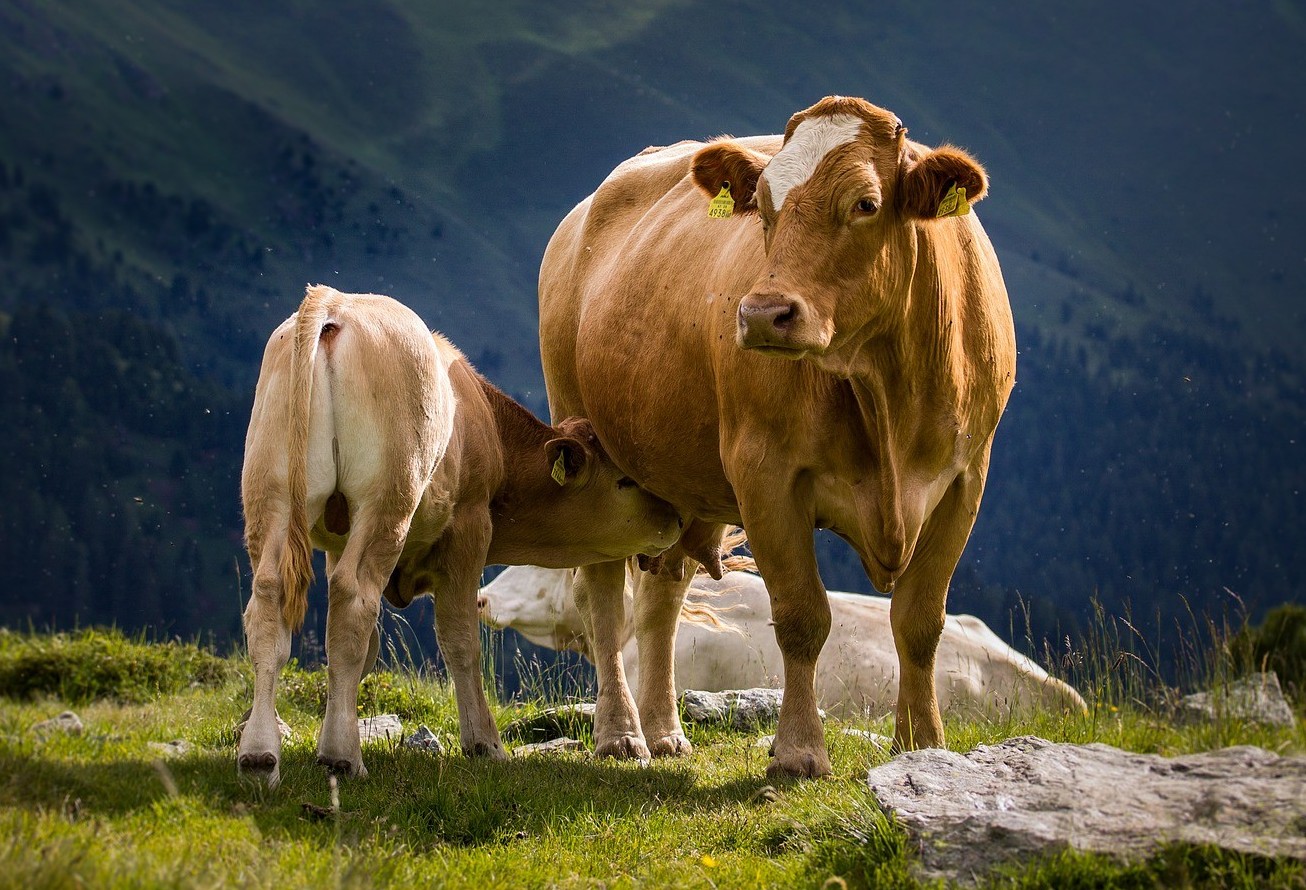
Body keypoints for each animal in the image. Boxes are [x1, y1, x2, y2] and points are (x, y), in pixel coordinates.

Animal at [237, 284, 684, 778]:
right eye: (625, 480)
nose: (676, 516)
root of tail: (335, 304)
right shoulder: (470, 528)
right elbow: (460, 638)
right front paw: (483, 742)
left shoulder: (338, 541)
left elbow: (361, 649)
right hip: (386, 499)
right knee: (353, 598)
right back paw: (342, 756)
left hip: (270, 494)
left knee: (269, 601)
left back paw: (259, 753)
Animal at [540, 97, 1018, 773]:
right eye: (762, 205)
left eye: (866, 203)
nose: (764, 313)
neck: (885, 390)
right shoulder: (766, 474)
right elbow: (800, 616)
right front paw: (797, 751)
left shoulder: (964, 480)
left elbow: (921, 620)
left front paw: (923, 744)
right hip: (583, 435)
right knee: (604, 593)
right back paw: (620, 733)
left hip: (674, 478)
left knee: (663, 594)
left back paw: (664, 730)